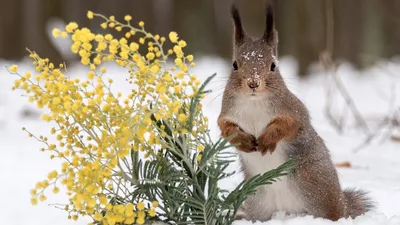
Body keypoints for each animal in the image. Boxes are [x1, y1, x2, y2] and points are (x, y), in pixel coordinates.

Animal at [217, 3, 374, 221]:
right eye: (234, 65)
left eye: (273, 65)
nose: (253, 83)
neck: (254, 102)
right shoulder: (226, 113)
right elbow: (226, 129)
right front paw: (243, 141)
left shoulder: (294, 111)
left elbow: (289, 126)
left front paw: (268, 139)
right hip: (258, 201)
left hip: (316, 189)